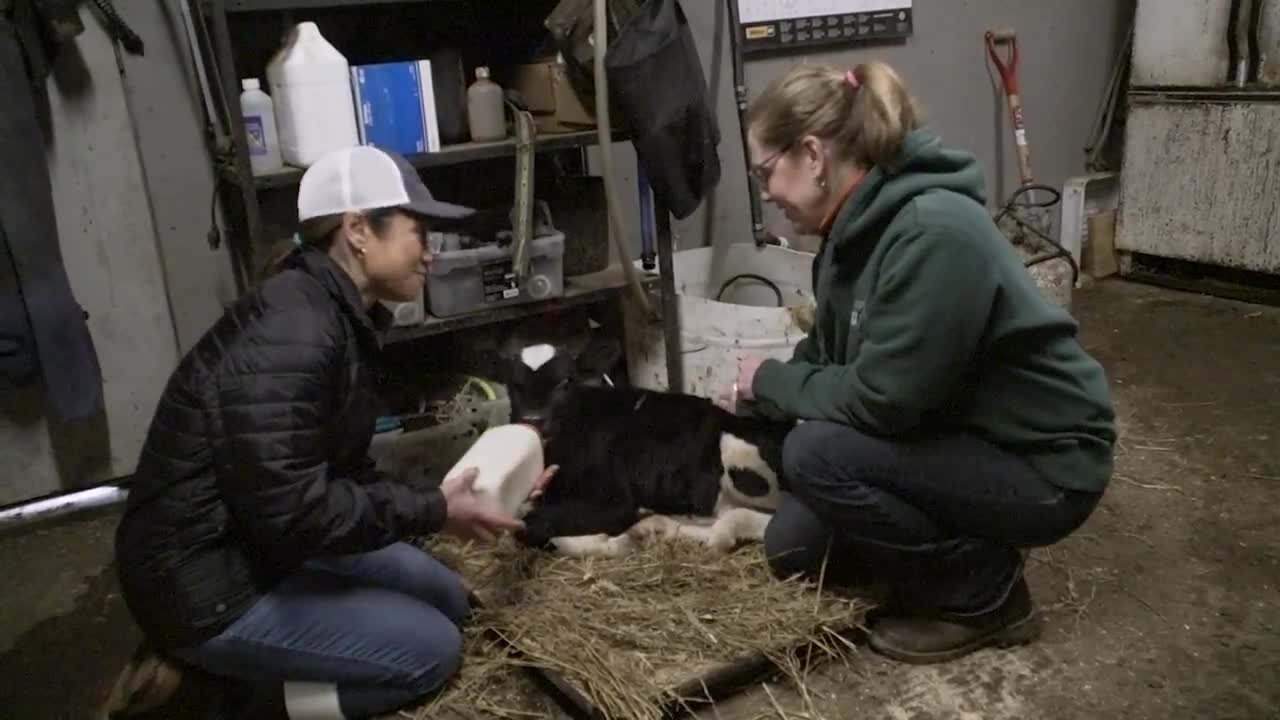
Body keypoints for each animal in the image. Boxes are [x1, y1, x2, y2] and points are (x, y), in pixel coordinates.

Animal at [501, 340, 793, 556]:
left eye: (565, 382)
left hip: (735, 450)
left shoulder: (616, 501)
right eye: (513, 385)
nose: (533, 420)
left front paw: (612, 542)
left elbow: (530, 527)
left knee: (755, 520)